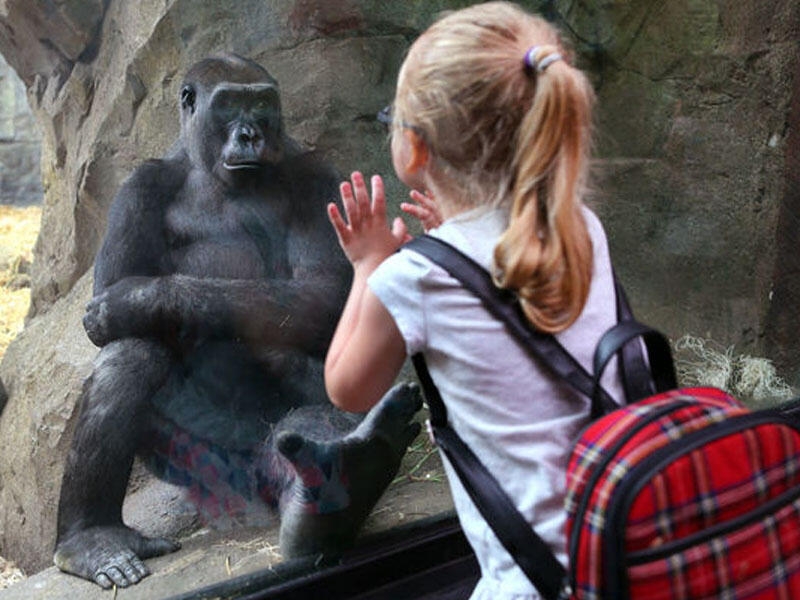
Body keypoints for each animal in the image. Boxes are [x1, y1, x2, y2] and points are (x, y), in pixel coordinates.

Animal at [53, 56, 422, 592]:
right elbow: (114, 299)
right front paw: (132, 303)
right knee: (134, 353)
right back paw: (89, 536)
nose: (250, 133)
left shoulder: (315, 174)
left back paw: (344, 477)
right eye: (228, 103)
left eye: (263, 103)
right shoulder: (139, 188)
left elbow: (327, 290)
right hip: (200, 470)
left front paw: (139, 299)